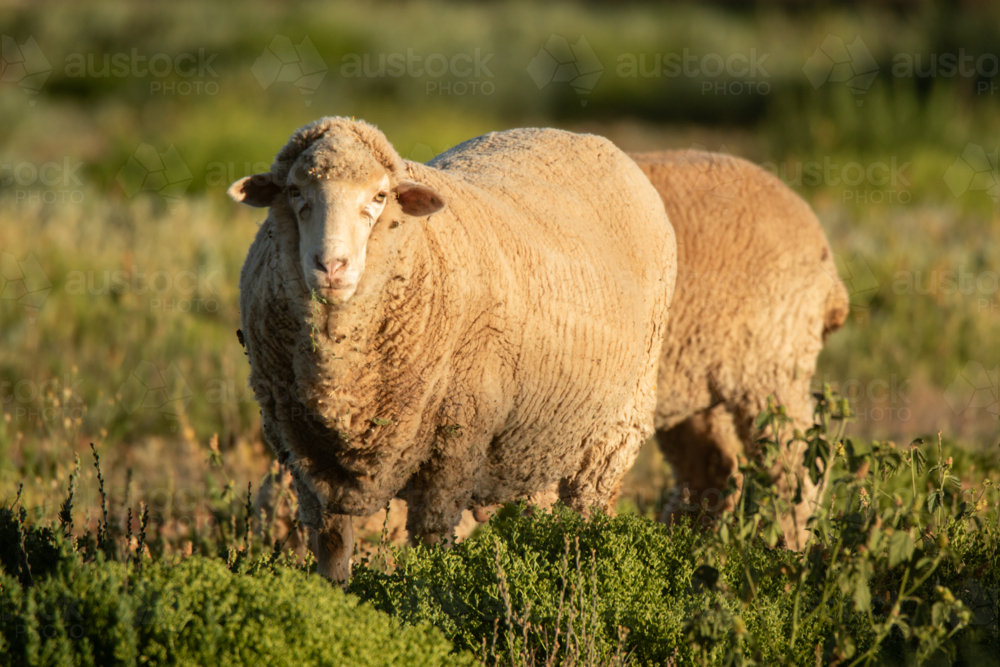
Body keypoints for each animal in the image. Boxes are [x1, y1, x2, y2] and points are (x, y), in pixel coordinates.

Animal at [229, 117, 677, 580]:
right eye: (294, 191)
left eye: (379, 196)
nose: (331, 266)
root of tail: (583, 136)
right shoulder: (303, 452)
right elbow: (332, 547)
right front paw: (335, 591)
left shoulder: (453, 446)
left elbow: (432, 541)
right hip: (540, 439)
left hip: (616, 426)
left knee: (589, 508)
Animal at [628, 149, 849, 549]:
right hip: (693, 373)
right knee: (714, 470)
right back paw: (684, 545)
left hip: (772, 361)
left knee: (793, 468)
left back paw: (786, 550)